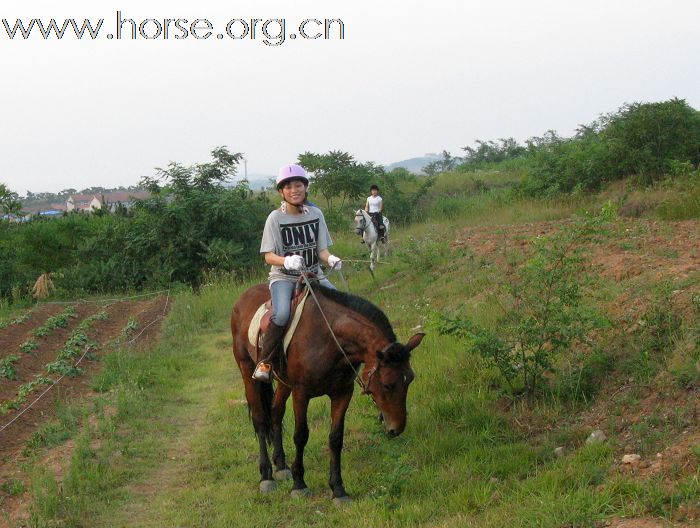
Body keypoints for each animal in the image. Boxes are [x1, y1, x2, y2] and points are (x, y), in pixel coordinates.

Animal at [232, 278, 424, 502]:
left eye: (410, 379)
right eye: (387, 384)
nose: (397, 428)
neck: (329, 339)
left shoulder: (342, 393)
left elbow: (336, 438)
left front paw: (338, 489)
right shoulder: (301, 393)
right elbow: (301, 435)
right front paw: (299, 484)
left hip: (283, 382)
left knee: (276, 413)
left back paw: (281, 466)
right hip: (247, 371)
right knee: (261, 419)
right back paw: (266, 475)